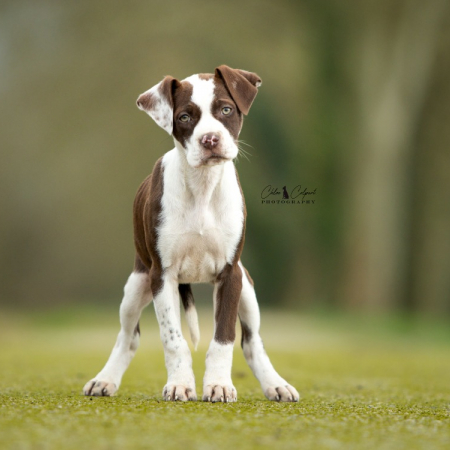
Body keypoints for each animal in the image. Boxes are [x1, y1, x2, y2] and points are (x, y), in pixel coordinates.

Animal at [83, 65, 299, 403]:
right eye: (185, 117)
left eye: (226, 109)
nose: (210, 139)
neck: (202, 186)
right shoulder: (162, 276)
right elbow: (173, 339)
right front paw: (180, 384)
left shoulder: (230, 275)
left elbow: (224, 339)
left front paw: (219, 385)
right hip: (136, 286)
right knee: (128, 337)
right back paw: (104, 379)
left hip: (247, 289)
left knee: (252, 342)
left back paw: (275, 384)